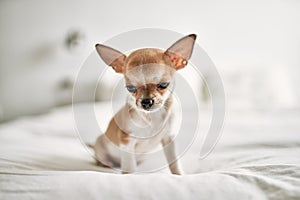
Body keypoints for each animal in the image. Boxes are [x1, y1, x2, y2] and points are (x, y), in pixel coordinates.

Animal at [94, 33, 197, 174]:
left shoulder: (169, 139)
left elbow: (174, 161)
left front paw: (178, 174)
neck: (152, 117)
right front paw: (128, 174)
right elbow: (129, 166)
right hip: (100, 144)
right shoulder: (127, 140)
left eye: (163, 85)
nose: (146, 102)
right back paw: (105, 163)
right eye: (130, 88)